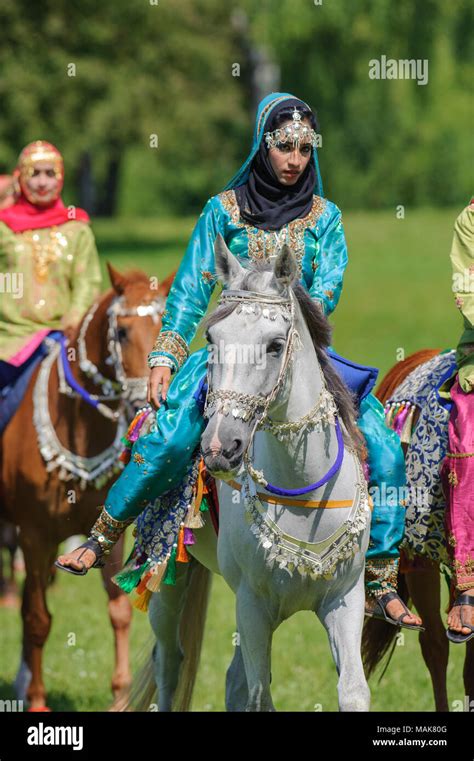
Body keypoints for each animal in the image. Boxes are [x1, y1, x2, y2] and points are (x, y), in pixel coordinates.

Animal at [0, 264, 172, 708]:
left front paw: (120, 696)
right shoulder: (35, 534)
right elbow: (38, 618)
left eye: (163, 324)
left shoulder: (107, 530)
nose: (143, 400)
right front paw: (38, 699)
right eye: (122, 332)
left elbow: (119, 611)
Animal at [126, 239, 374, 712]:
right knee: (170, 663)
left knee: (231, 680)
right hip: (167, 579)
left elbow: (353, 690)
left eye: (275, 345)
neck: (303, 494)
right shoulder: (253, 606)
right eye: (212, 339)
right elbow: (260, 696)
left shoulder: (344, 598)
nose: (220, 446)